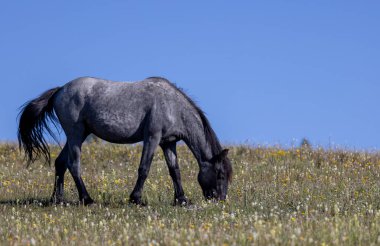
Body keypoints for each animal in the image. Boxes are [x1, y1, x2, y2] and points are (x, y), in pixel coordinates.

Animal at [17, 77, 233, 206]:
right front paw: (136, 199)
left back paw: (58, 199)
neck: (172, 106)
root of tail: (60, 90)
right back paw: (87, 199)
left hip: (79, 135)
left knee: (60, 163)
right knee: (73, 164)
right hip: (76, 135)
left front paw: (181, 199)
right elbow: (144, 168)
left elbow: (175, 171)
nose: (220, 199)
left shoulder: (168, 143)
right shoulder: (152, 138)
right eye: (220, 174)